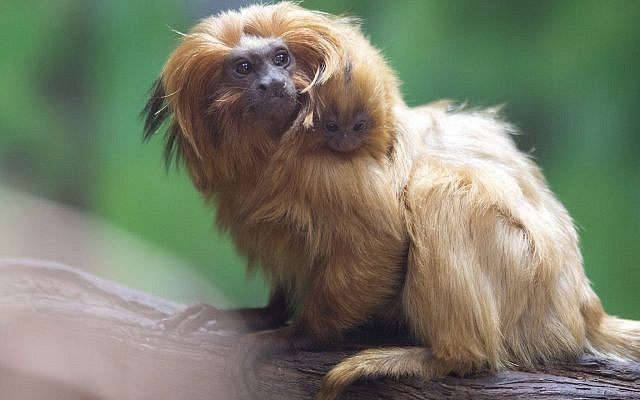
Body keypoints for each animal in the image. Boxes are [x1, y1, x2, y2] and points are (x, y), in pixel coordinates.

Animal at [142, 2, 640, 400]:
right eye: (243, 68)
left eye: (281, 58)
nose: (271, 83)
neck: (273, 150)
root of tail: (581, 308)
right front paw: (261, 314)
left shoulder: (330, 170)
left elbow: (379, 244)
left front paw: (292, 335)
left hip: (529, 283)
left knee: (440, 191)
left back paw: (441, 357)